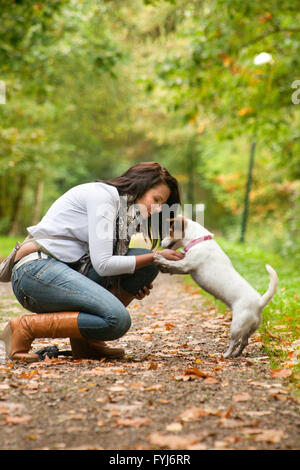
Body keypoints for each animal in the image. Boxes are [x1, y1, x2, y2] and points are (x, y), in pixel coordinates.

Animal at [155, 216, 278, 356]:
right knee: (244, 342)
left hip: (236, 326)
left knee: (234, 342)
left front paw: (160, 258)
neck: (198, 241)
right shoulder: (186, 269)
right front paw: (164, 268)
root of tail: (259, 303)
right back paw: (236, 354)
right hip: (249, 329)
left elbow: (173, 264)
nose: (161, 243)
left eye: (170, 232)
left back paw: (226, 355)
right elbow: (173, 268)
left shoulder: (186, 265)